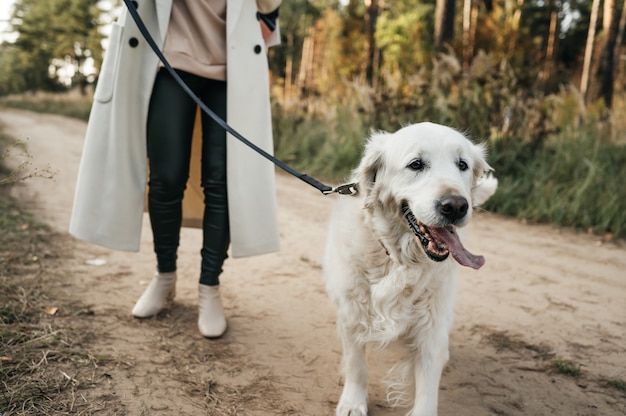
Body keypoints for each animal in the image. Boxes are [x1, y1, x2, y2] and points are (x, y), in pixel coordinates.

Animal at [324, 122, 494, 416]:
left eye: (462, 164)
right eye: (416, 164)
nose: (456, 206)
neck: (399, 260)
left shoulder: (431, 327)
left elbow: (427, 386)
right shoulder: (352, 312)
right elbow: (357, 365)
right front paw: (353, 402)